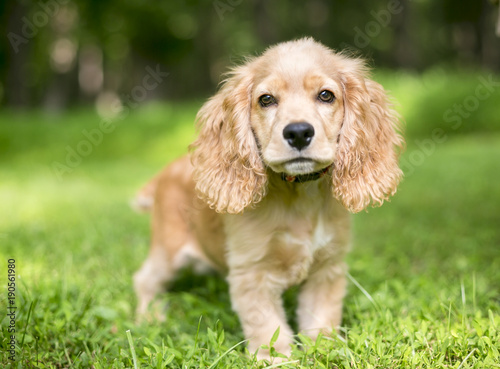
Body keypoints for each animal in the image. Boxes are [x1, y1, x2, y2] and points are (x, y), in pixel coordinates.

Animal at [132, 38, 402, 360]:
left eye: (326, 95)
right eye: (266, 99)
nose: (298, 132)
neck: (299, 194)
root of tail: (163, 174)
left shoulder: (327, 268)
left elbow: (320, 319)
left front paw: (324, 352)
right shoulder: (252, 274)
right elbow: (269, 328)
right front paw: (276, 359)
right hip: (168, 250)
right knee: (144, 279)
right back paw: (149, 317)